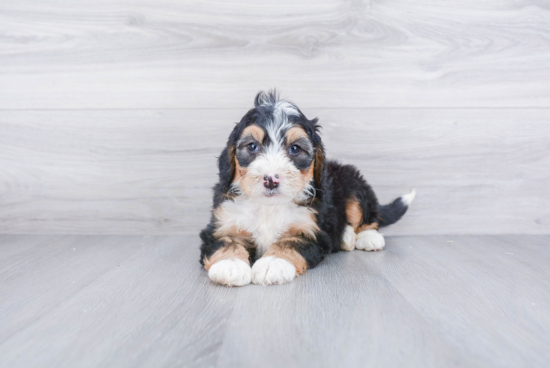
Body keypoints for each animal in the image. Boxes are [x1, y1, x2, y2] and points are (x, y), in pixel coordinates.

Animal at [201, 90, 416, 286]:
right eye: (252, 146)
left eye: (295, 149)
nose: (271, 179)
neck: (269, 206)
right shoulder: (223, 223)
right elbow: (226, 241)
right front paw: (230, 265)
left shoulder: (312, 230)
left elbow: (290, 242)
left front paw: (273, 263)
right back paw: (346, 237)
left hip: (353, 184)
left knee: (366, 215)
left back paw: (368, 237)